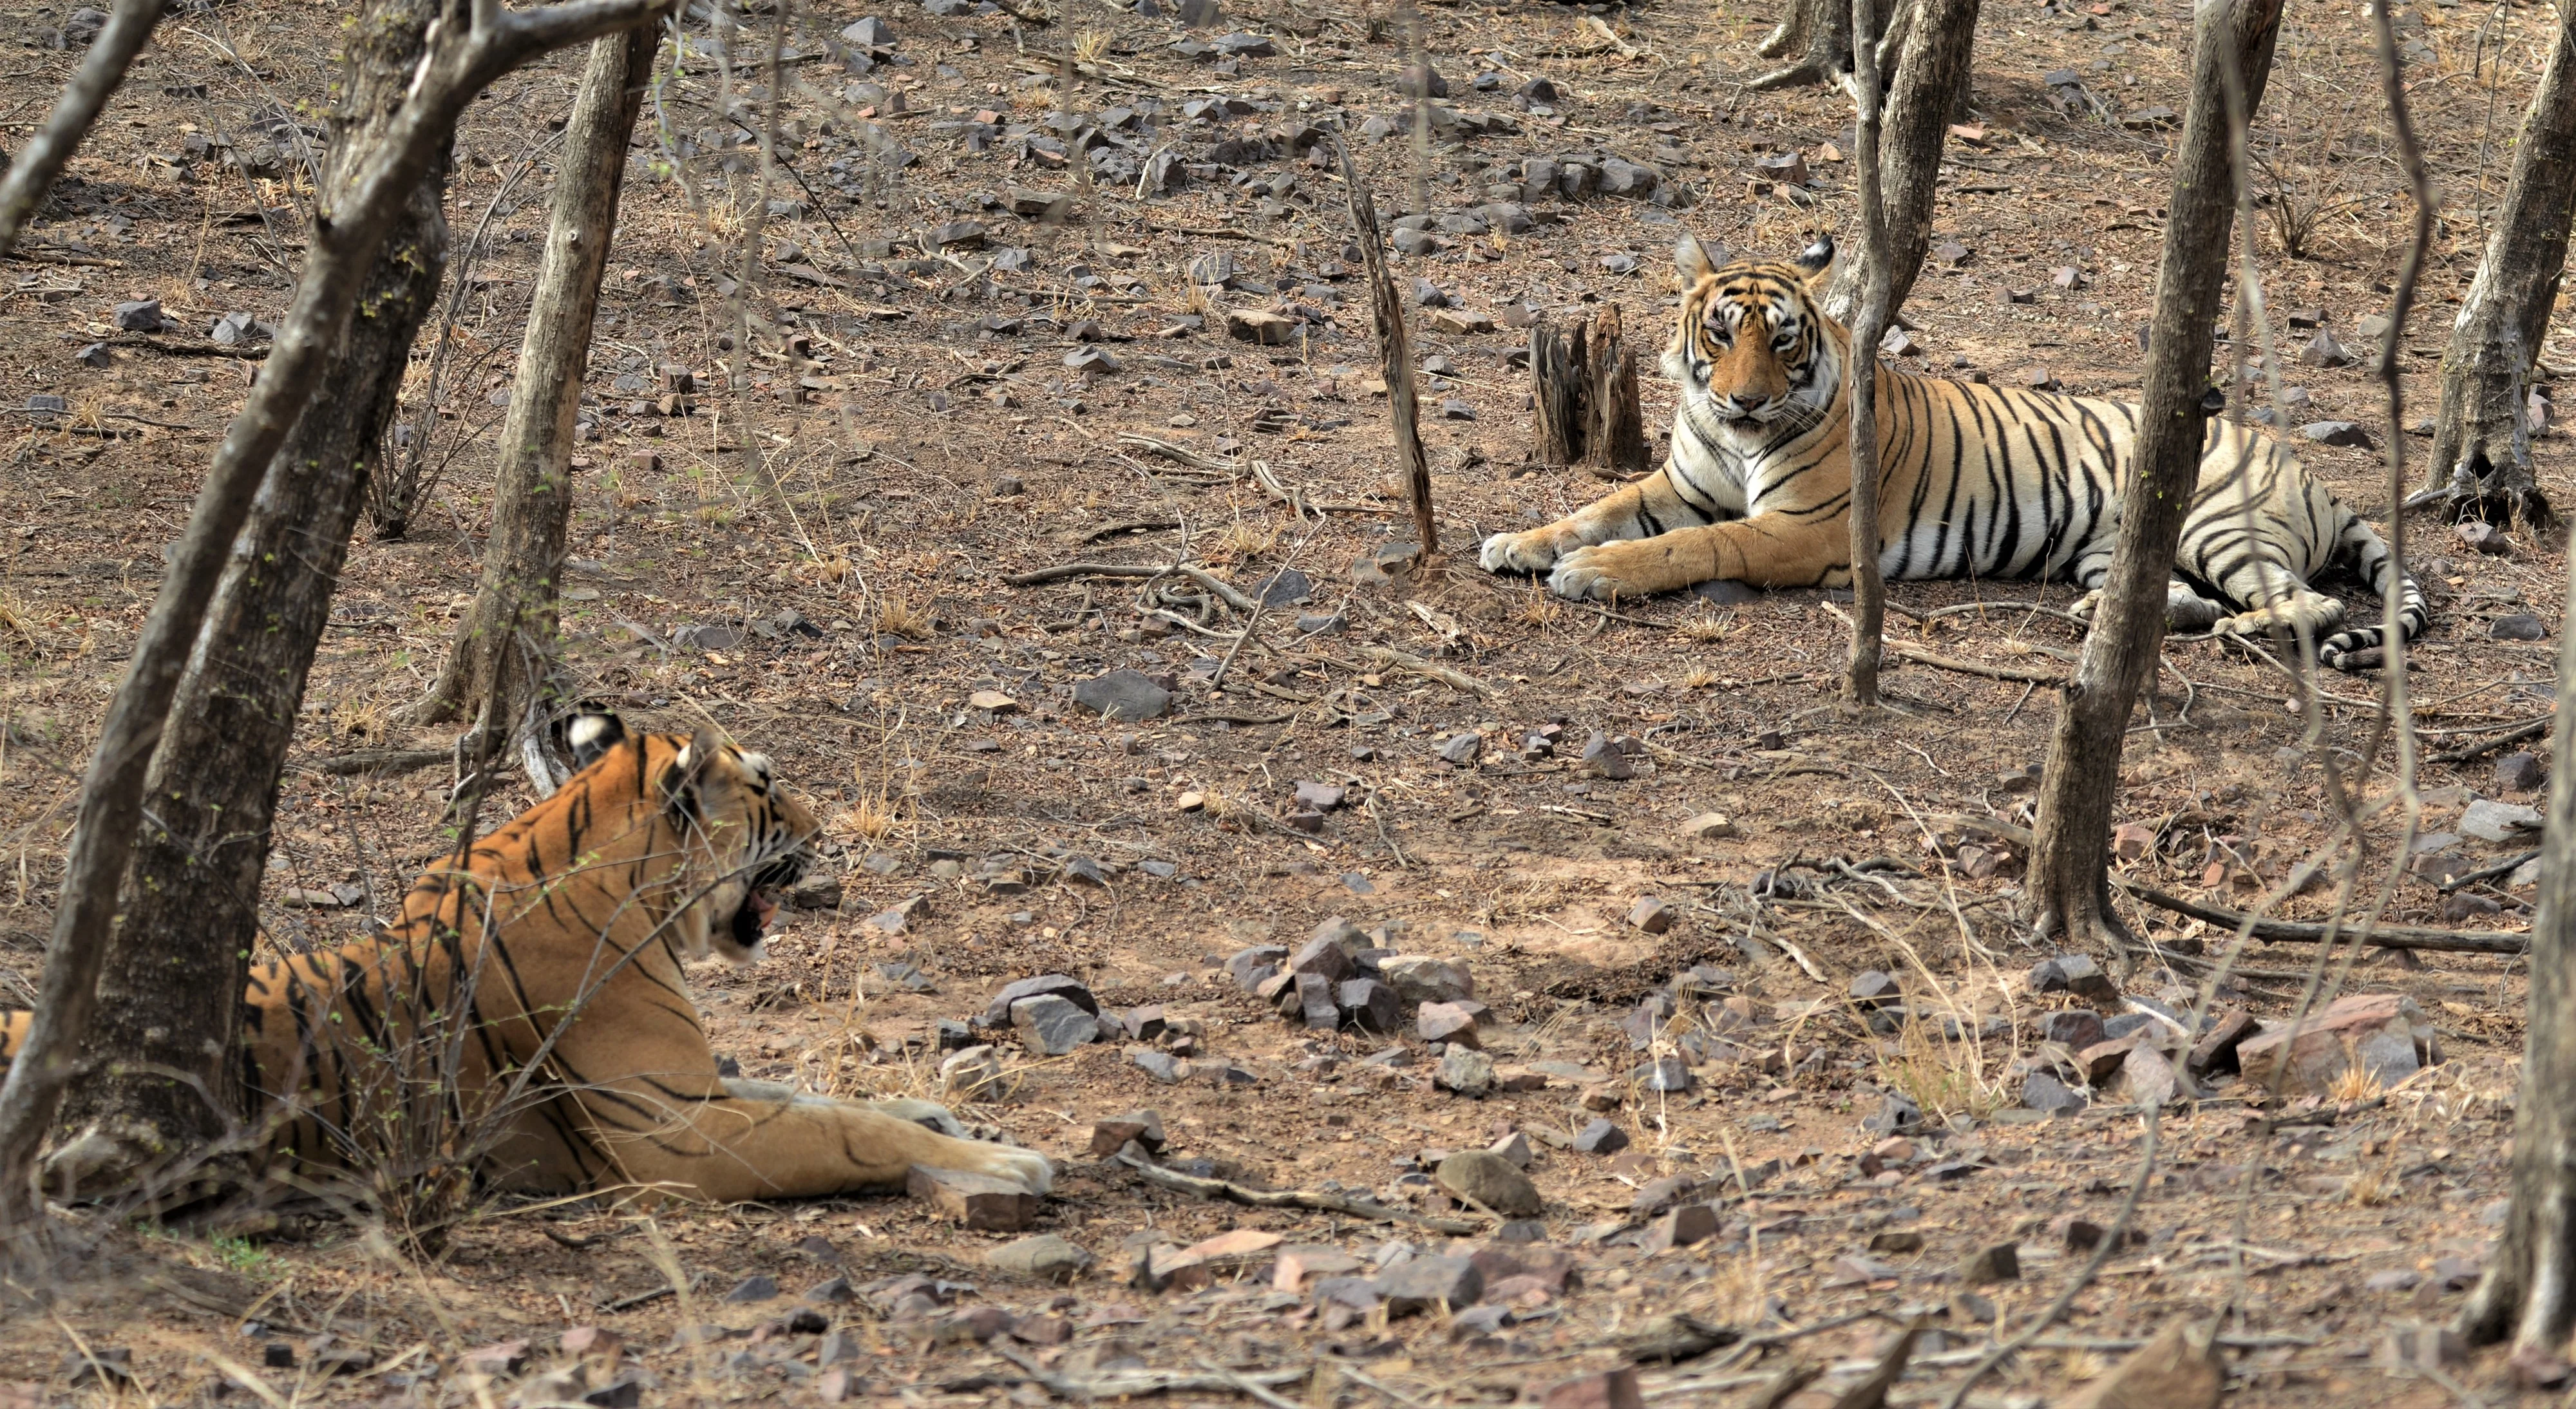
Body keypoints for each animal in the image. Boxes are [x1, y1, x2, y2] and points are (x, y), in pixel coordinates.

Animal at [0, 716, 1056, 1211]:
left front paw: (931, 1112)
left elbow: (809, 1092)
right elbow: (840, 1130)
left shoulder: (694, 1091)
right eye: (766, 787)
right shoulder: (668, 1133)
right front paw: (1002, 1159)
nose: (822, 824)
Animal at [1484, 233, 2421, 675]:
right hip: (2112, 547)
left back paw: (2243, 629)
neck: (1732, 437)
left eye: (1783, 340)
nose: (1745, 399)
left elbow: (1690, 544)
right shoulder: (1681, 481)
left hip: (2222, 525)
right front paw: (1517, 544)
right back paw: (2102, 616)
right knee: (2175, 598)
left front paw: (1592, 572)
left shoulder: (1800, 528)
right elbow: (1597, 508)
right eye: (1720, 332)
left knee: (2310, 603)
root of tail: (2314, 474)